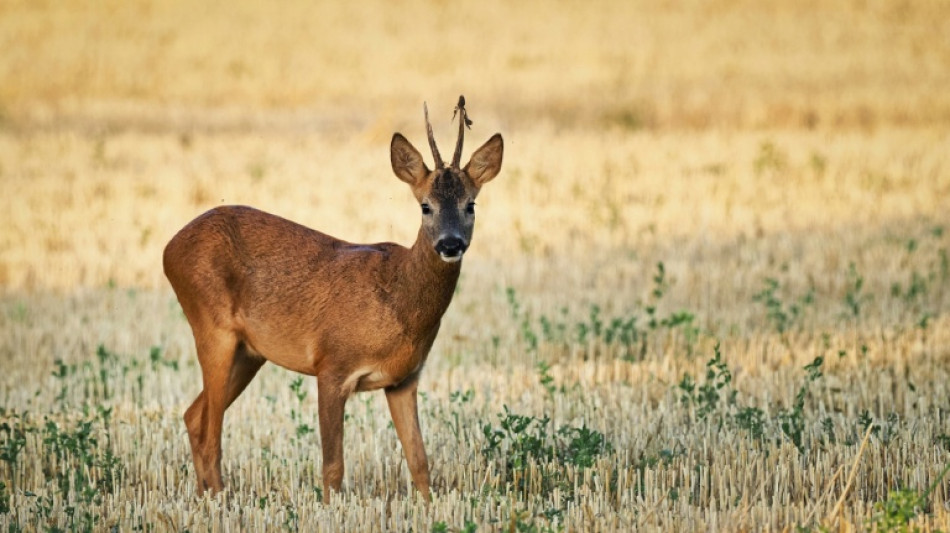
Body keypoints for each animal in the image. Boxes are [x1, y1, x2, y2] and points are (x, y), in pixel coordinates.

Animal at [162, 97, 503, 502]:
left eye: (471, 205)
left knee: (194, 416)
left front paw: (428, 505)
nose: (451, 244)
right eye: (425, 206)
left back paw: (205, 497)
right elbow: (333, 467)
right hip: (212, 328)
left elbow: (420, 462)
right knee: (212, 431)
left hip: (249, 352)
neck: (398, 299)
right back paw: (218, 502)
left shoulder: (404, 379)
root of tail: (168, 249)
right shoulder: (332, 365)